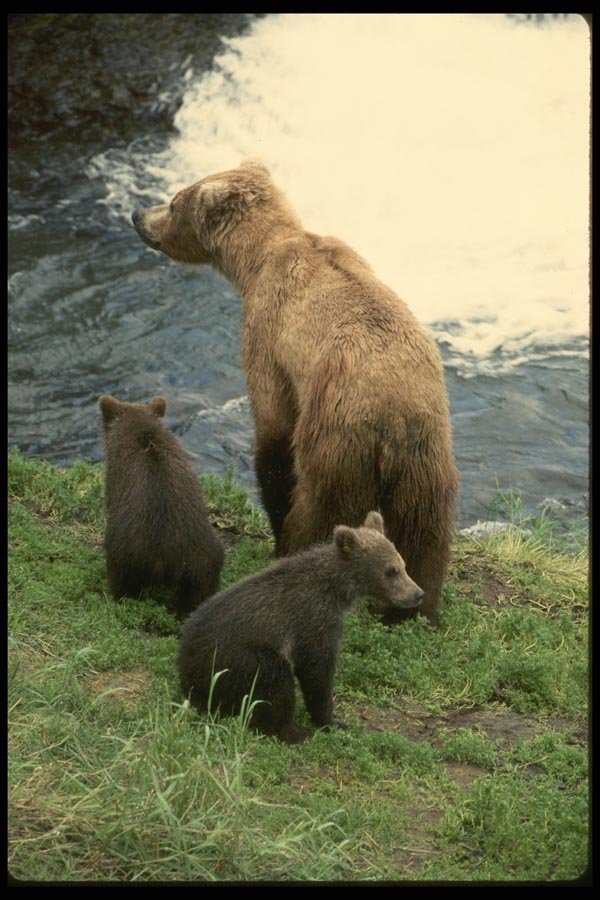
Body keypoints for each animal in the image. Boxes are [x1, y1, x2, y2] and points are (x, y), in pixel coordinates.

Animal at [99, 393, 224, 619]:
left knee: (121, 579)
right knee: (199, 592)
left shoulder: (114, 480)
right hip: (202, 559)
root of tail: (165, 559)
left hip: (126, 549)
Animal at [132, 159, 458, 625]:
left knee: (320, 508)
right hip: (427, 454)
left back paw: (294, 555)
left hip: (339, 440)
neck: (256, 261)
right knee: (425, 530)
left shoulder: (268, 335)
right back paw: (417, 608)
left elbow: (273, 429)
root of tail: (393, 415)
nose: (138, 214)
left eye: (175, 201)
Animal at [177, 511, 424, 743]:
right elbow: (316, 671)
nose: (417, 593)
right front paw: (331, 720)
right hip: (236, 659)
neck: (337, 591)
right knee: (275, 681)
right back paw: (295, 732)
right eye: (390, 570)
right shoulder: (314, 620)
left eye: (402, 564)